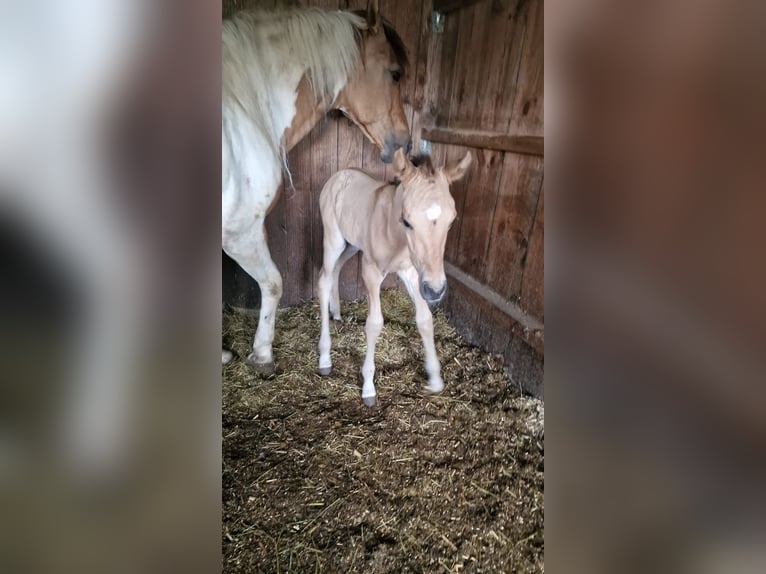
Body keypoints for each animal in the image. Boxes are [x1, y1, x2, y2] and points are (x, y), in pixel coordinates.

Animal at [318, 150, 474, 410]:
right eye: (407, 221)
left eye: (452, 220)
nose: (436, 291)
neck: (392, 231)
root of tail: (338, 176)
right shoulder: (370, 270)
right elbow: (374, 323)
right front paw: (368, 387)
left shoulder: (411, 272)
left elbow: (425, 318)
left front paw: (434, 377)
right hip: (333, 239)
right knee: (323, 279)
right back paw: (324, 357)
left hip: (352, 244)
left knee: (337, 270)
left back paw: (337, 313)